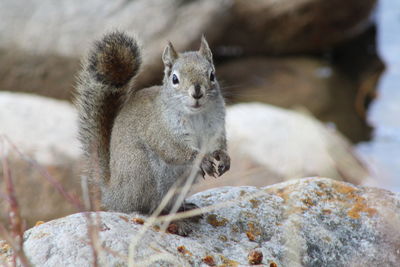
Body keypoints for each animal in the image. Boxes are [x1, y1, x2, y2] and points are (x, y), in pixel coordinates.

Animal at [76, 32, 231, 219]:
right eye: (174, 78)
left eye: (212, 75)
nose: (197, 92)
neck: (196, 114)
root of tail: (112, 194)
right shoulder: (159, 130)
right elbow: (173, 149)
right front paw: (200, 158)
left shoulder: (215, 127)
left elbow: (217, 144)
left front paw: (223, 157)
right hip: (141, 171)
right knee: (141, 207)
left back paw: (184, 209)